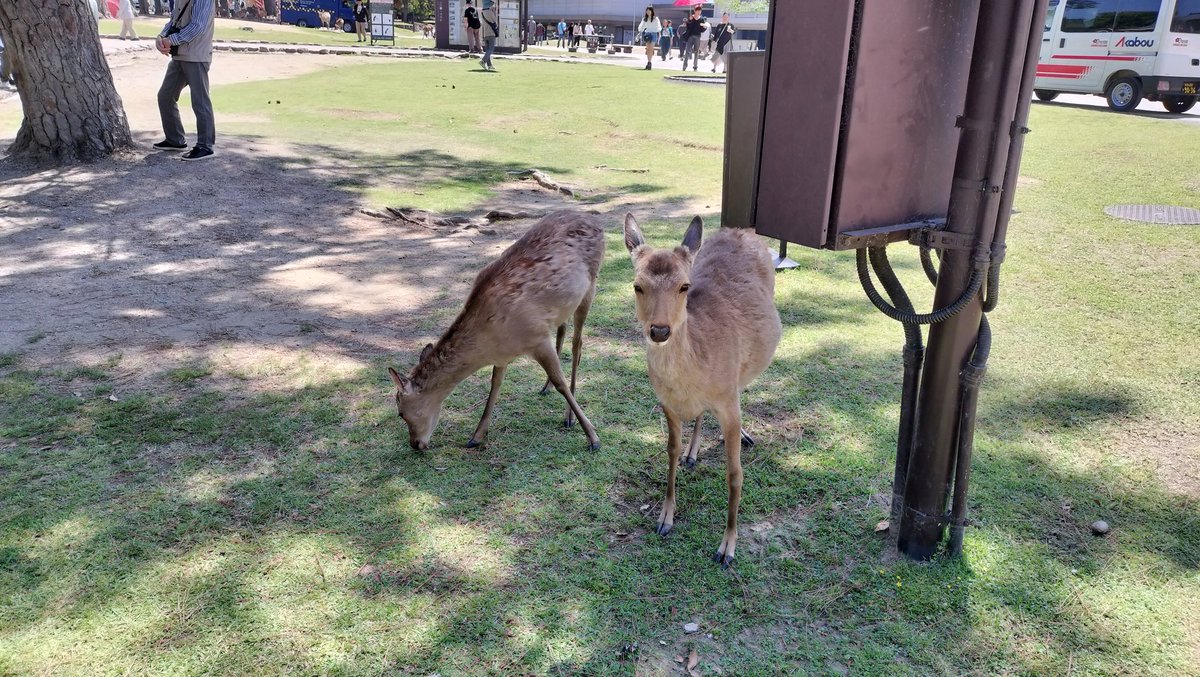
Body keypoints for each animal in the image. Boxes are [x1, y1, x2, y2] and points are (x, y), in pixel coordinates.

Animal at [388, 210, 604, 453]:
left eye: (400, 413)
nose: (415, 444)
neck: (489, 345)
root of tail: (594, 220)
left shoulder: (537, 337)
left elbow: (561, 383)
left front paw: (593, 437)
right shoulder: (503, 355)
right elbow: (494, 386)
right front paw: (476, 436)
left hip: (591, 285)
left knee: (578, 346)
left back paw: (569, 417)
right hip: (563, 306)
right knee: (563, 330)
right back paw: (545, 388)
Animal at [624, 212, 782, 566]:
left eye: (684, 286)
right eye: (637, 285)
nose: (659, 330)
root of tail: (742, 229)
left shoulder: (727, 402)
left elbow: (735, 472)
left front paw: (727, 548)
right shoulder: (665, 403)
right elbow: (669, 451)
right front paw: (665, 519)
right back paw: (692, 454)